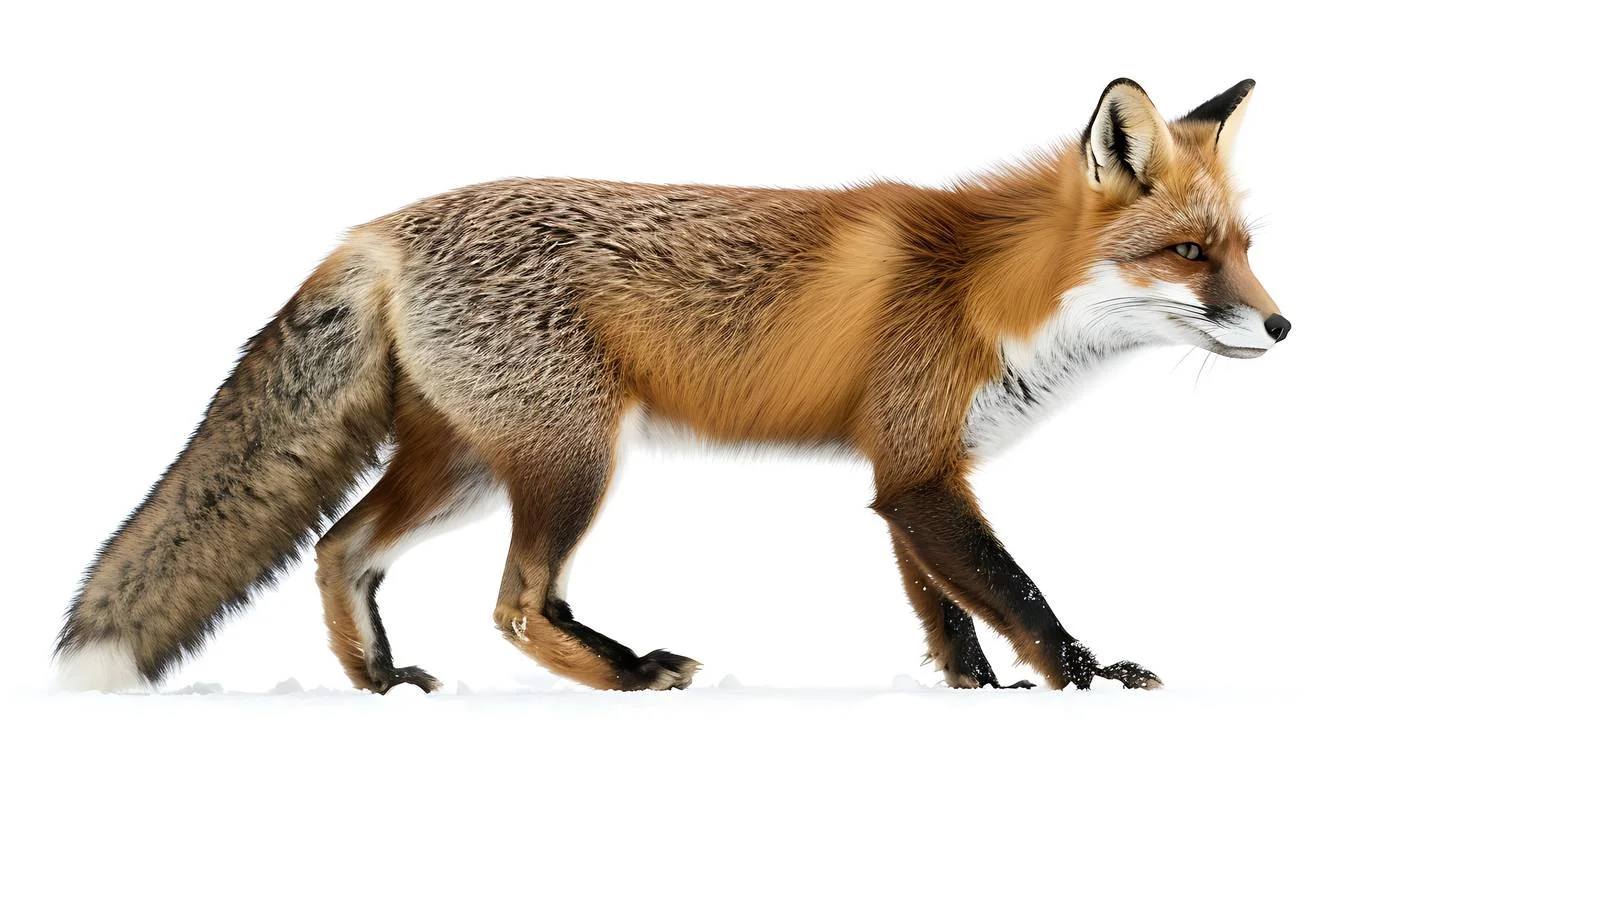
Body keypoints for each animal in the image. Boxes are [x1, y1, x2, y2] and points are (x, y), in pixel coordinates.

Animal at [55, 77, 1287, 695]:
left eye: (1244, 247)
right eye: (1188, 254)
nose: (1281, 324)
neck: (991, 287)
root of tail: (377, 231)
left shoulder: (908, 470)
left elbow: (950, 614)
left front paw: (979, 697)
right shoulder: (921, 473)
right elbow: (1018, 593)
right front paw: (1089, 680)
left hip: (468, 464)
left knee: (339, 549)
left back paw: (381, 683)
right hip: (572, 460)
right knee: (515, 603)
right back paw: (635, 673)